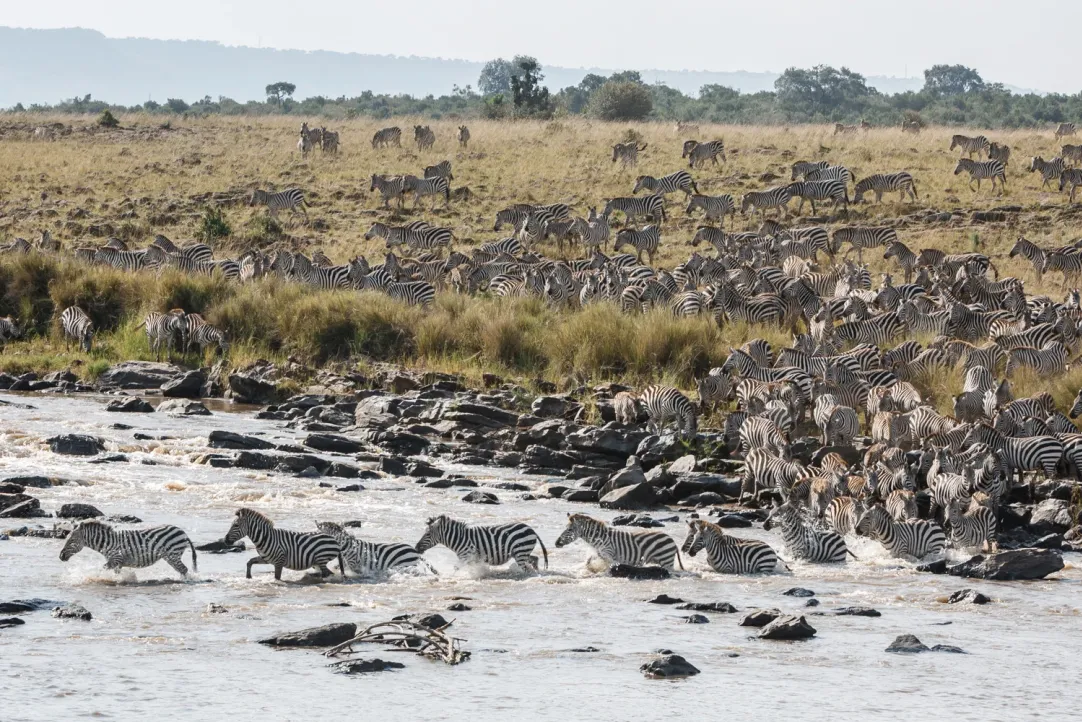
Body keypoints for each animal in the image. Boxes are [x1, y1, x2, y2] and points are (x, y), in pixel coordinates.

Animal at [58, 521, 199, 580]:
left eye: (71, 540)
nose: (60, 556)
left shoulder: (116, 559)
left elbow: (102, 569)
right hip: (170, 556)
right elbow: (116, 574)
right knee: (181, 570)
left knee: (183, 569)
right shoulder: (117, 563)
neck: (108, 543)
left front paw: (96, 578)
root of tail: (182, 532)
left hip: (173, 555)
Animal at [413, 517, 549, 571]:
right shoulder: (472, 559)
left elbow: (456, 568)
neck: (459, 539)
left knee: (525, 568)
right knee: (534, 559)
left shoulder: (466, 556)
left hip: (521, 552)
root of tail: (531, 529)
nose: (416, 548)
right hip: (521, 552)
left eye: (427, 534)